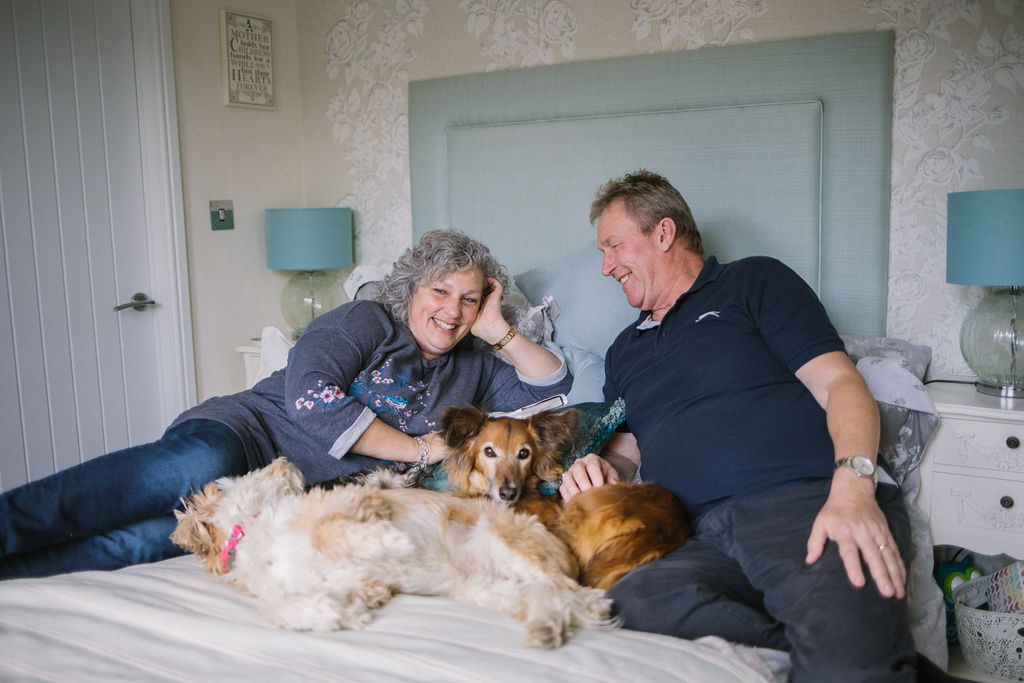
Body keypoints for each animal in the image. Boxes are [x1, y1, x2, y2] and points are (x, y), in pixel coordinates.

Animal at [172, 458, 610, 647]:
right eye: (250, 472)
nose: (284, 458)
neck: (259, 528)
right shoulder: (328, 581)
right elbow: (279, 609)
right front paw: (334, 613)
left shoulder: (359, 501)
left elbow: (330, 530)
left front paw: (394, 543)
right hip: (489, 589)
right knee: (551, 598)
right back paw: (547, 627)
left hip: (507, 542)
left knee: (572, 592)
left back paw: (593, 607)